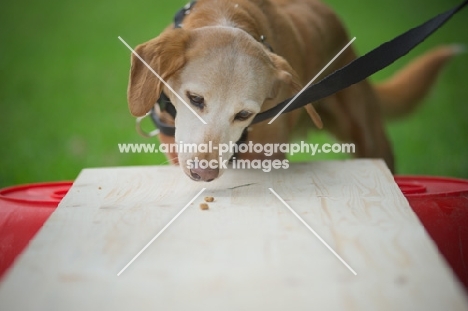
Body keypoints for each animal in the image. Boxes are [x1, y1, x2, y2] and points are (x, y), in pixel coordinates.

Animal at [126, 0, 458, 182]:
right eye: (195, 99)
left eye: (244, 114)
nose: (204, 174)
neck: (228, 15)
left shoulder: (264, 156)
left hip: (371, 139)